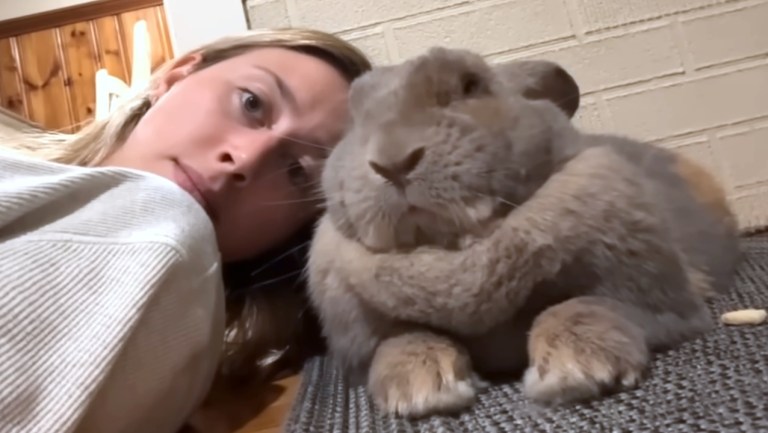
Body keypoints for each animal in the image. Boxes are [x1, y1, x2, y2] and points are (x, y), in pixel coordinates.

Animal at [306, 46, 742, 418]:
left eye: (470, 85)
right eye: (353, 117)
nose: (392, 163)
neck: (460, 248)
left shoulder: (659, 304)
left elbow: (581, 306)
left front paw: (578, 370)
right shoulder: (367, 339)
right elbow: (402, 339)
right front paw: (421, 390)